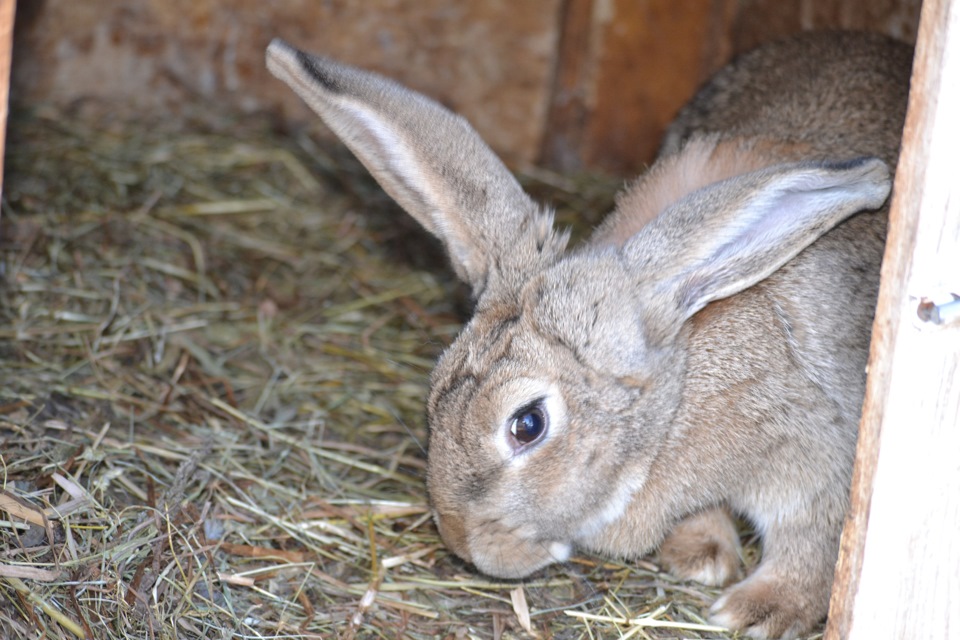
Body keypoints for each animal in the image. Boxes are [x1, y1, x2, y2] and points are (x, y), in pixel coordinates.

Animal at [266, 31, 912, 640]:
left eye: (528, 424)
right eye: (435, 393)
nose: (465, 545)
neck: (675, 405)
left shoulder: (822, 453)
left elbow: (813, 540)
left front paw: (759, 610)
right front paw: (697, 555)